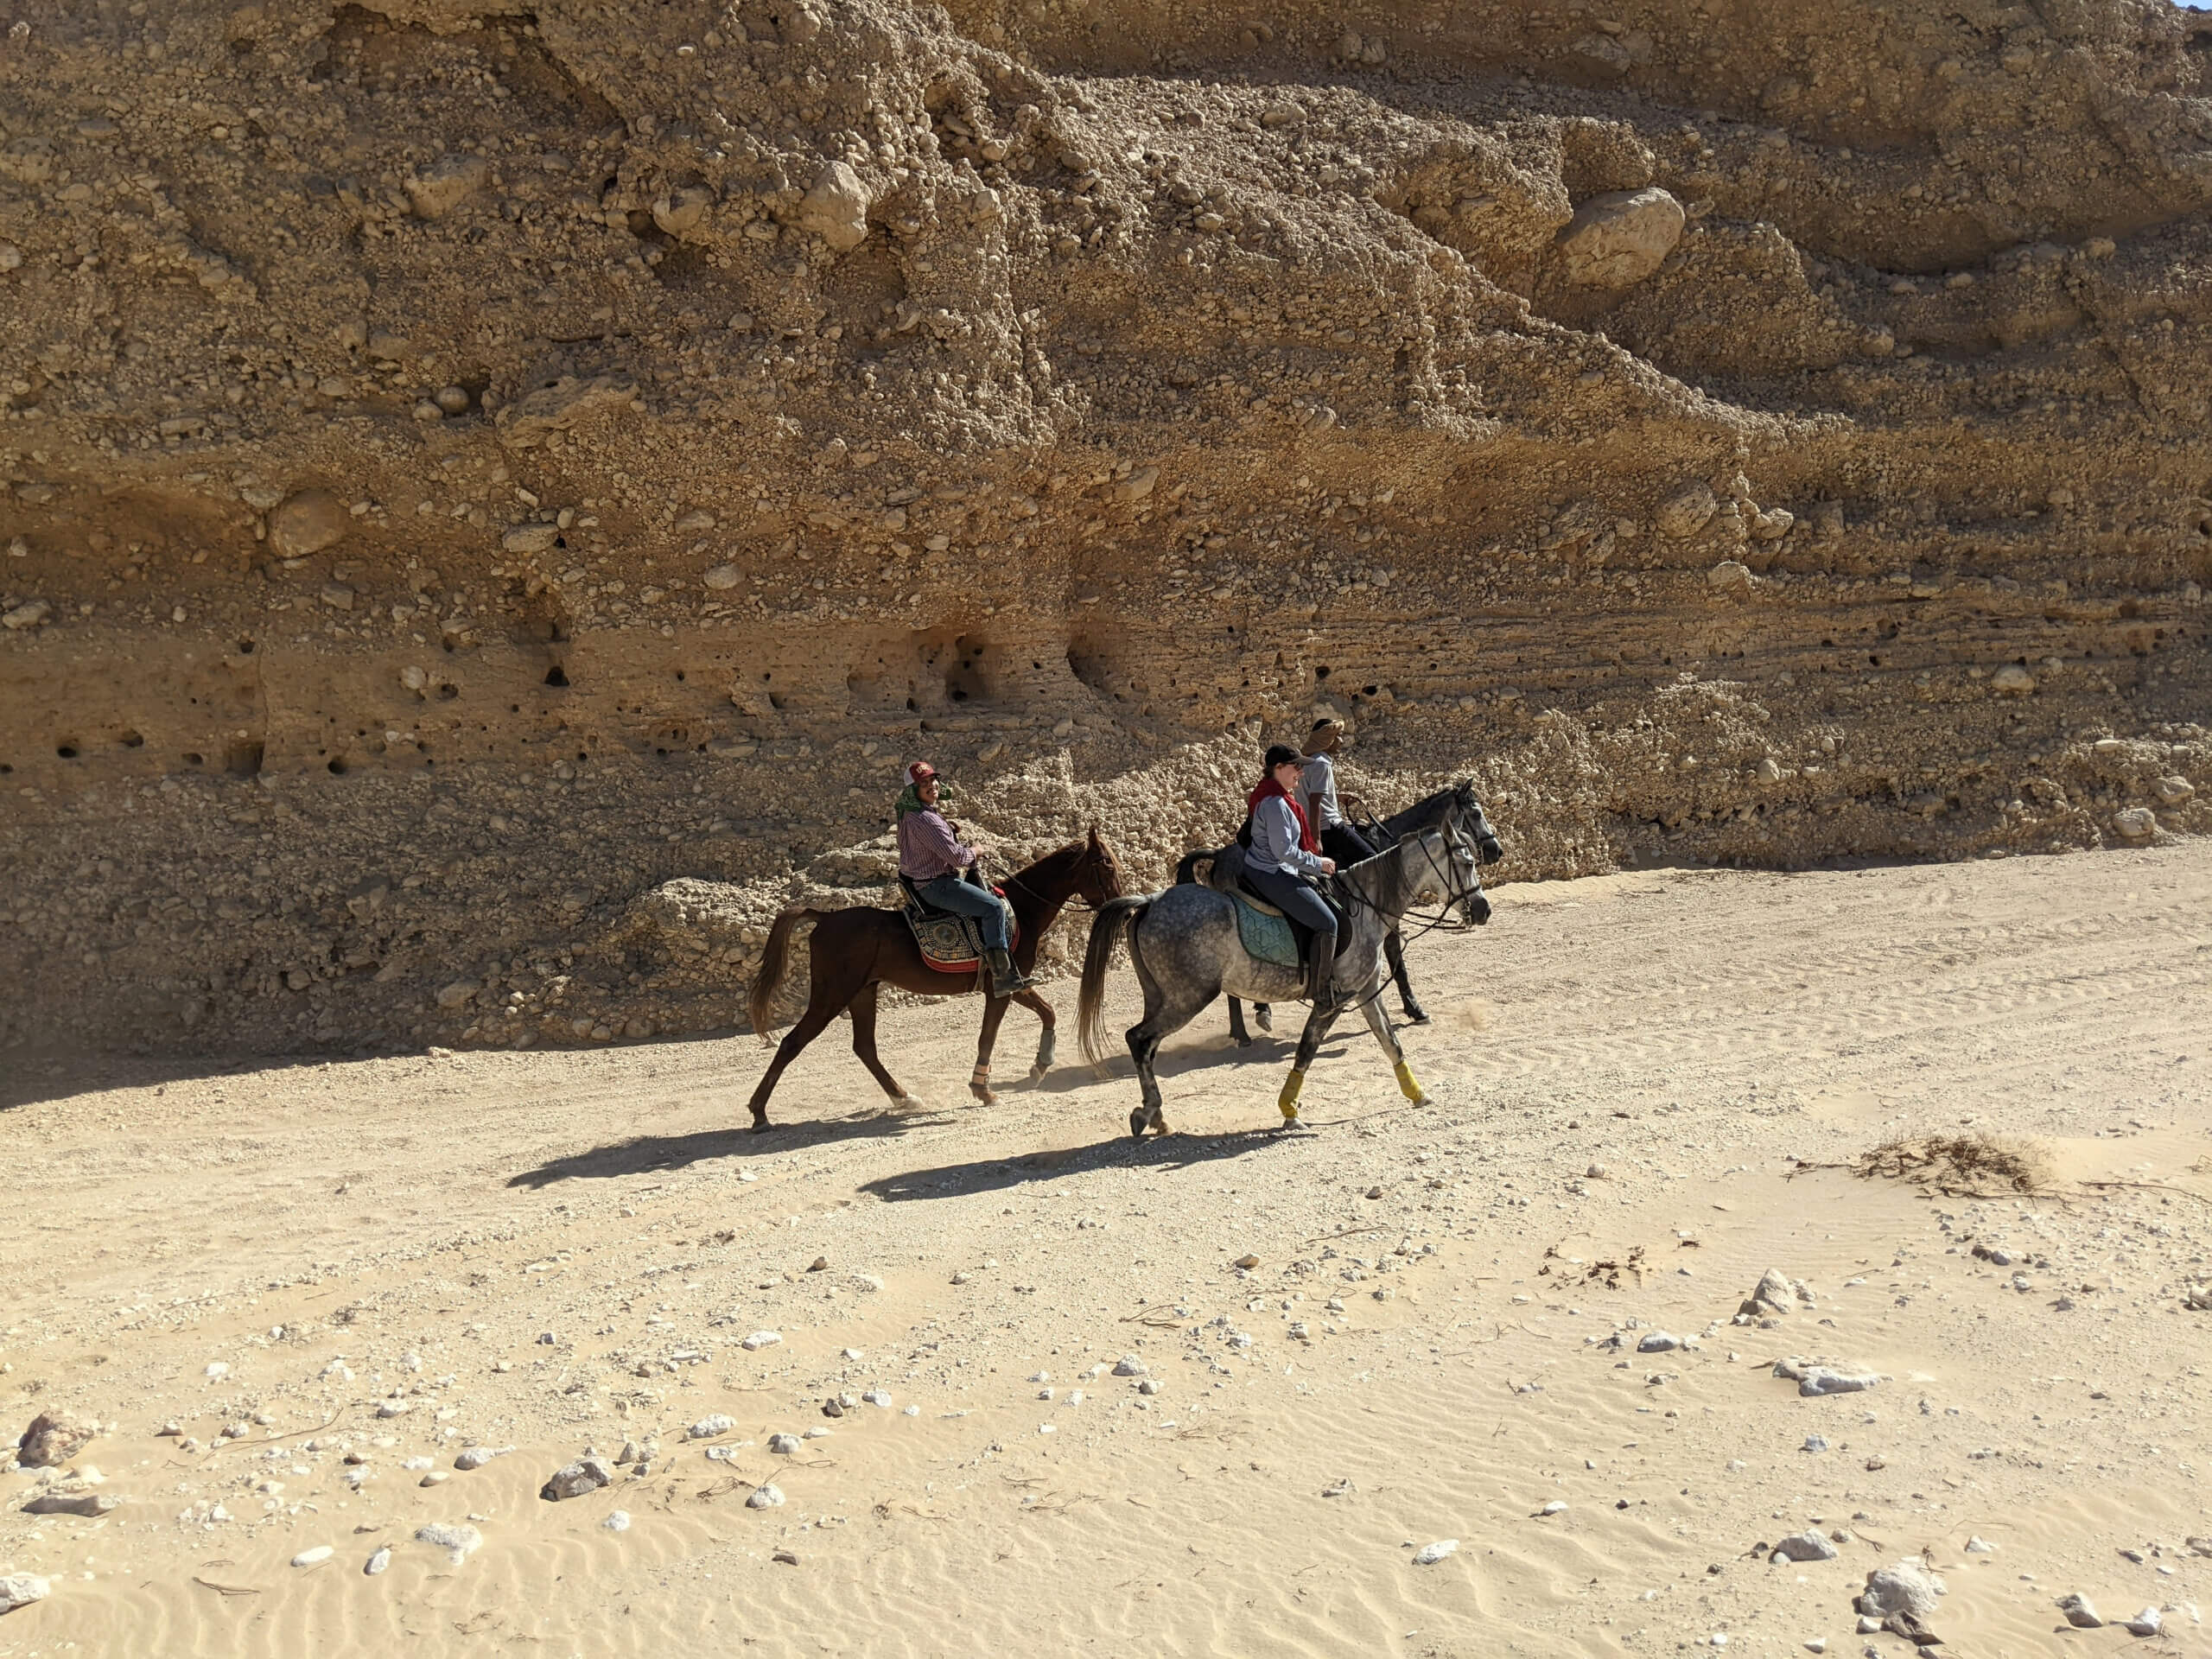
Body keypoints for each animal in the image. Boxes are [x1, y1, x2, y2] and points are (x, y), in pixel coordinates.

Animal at [743, 836, 1123, 1141]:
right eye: (1106, 866)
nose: (1118, 904)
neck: (1021, 911)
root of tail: (824, 918)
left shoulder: (1013, 987)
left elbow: (1048, 1013)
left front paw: (1039, 1067)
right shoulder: (1004, 987)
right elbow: (991, 1035)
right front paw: (984, 1090)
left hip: (863, 993)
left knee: (864, 1047)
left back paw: (904, 1097)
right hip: (831, 996)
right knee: (792, 1043)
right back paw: (759, 1113)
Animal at [1075, 787, 1503, 1141]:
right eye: (1466, 861)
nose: (1483, 910)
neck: (1366, 903)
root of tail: (1150, 901)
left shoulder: (1365, 990)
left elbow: (1390, 1042)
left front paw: (1417, 1092)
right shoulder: (1334, 999)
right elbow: (1306, 1052)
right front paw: (1290, 1111)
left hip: (1161, 997)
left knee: (1146, 1047)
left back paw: (1160, 1112)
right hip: (1188, 997)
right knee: (1139, 1039)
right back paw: (1154, 1109)